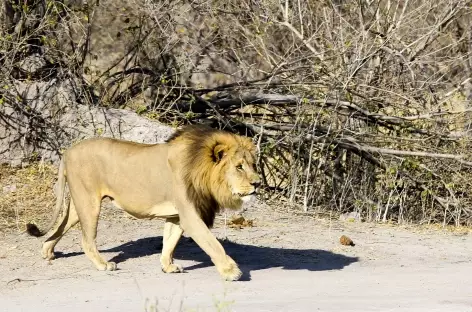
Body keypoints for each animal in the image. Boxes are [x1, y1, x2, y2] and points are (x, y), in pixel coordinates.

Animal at [26, 123, 262, 280]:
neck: (199, 168)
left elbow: (170, 242)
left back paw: (47, 250)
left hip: (80, 203)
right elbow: (212, 243)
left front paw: (168, 267)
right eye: (239, 167)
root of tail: (68, 151)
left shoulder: (177, 215)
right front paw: (231, 271)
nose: (258, 183)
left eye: (253, 165)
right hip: (89, 202)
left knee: (62, 223)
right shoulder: (190, 214)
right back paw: (103, 265)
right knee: (86, 239)